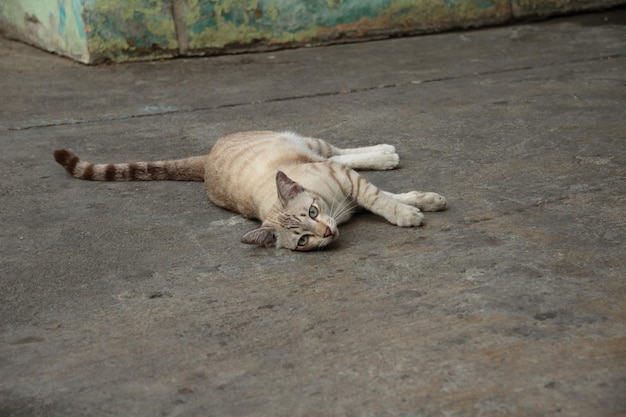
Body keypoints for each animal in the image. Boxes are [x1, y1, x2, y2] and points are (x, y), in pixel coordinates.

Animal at [53, 130, 444, 250]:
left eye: (312, 212)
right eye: (304, 239)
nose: (327, 232)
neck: (336, 207)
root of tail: (207, 159)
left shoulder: (347, 183)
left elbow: (381, 198)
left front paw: (413, 208)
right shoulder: (346, 198)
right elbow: (385, 198)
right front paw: (420, 204)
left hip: (309, 143)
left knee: (339, 151)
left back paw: (385, 153)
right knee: (338, 154)